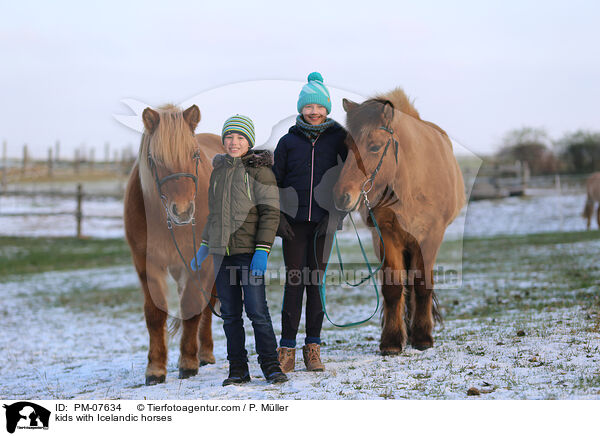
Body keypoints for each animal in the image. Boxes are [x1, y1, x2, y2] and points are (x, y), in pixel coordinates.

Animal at [123, 104, 224, 384]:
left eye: (194, 154)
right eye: (155, 159)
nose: (182, 211)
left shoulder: (201, 263)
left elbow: (192, 305)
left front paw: (188, 363)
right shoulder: (146, 264)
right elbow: (154, 314)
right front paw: (155, 368)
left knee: (207, 305)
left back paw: (205, 353)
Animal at [336, 88, 466, 354]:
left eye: (375, 147)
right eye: (346, 146)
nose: (342, 196)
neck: (410, 182)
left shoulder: (430, 237)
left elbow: (422, 284)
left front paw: (423, 337)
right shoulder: (386, 236)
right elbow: (394, 288)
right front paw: (392, 340)